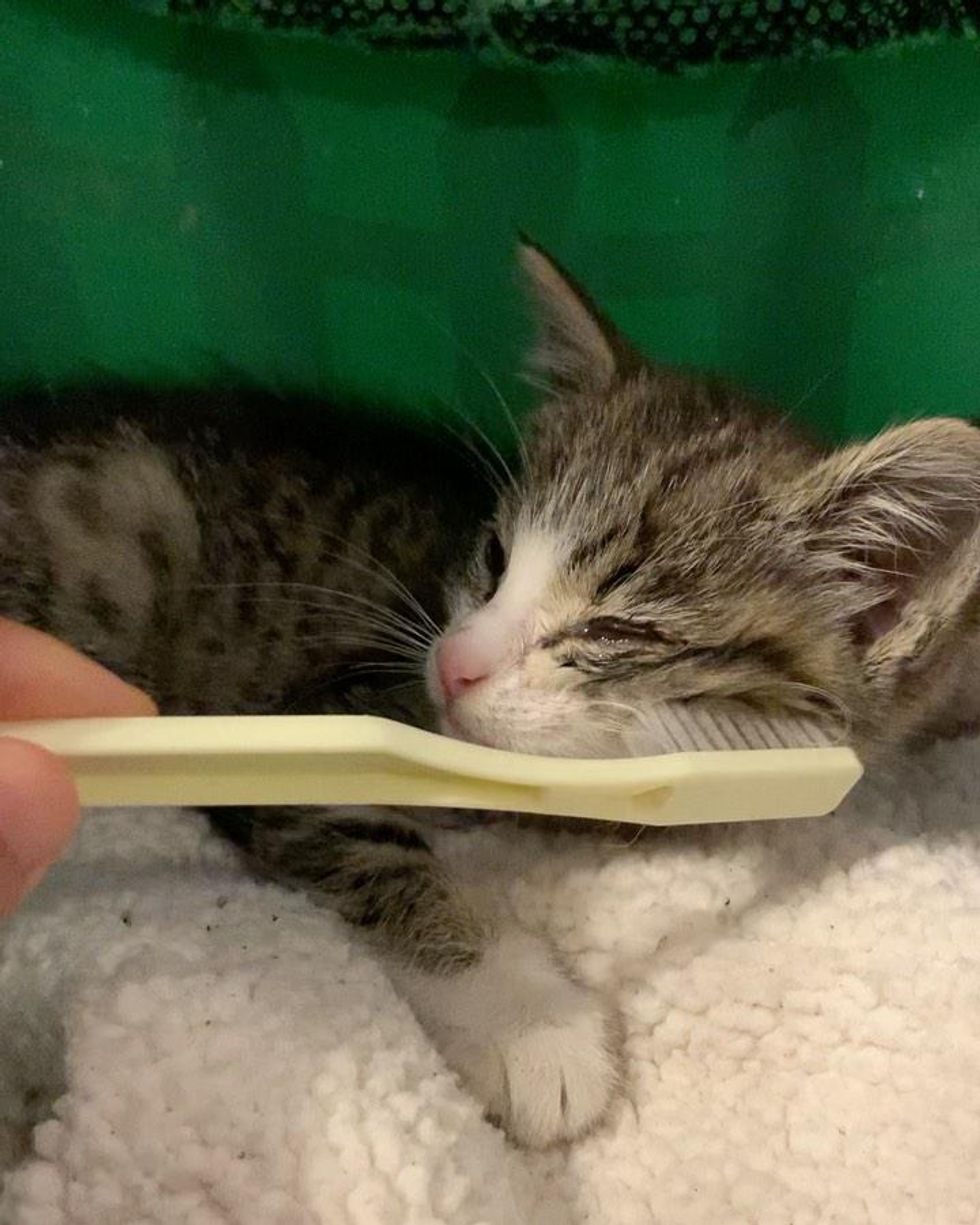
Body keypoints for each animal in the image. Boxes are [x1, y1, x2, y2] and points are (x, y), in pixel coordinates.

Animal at [1, 241, 980, 1146]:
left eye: (615, 631)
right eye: (495, 554)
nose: (453, 662)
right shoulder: (311, 723)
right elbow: (379, 850)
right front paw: (532, 1024)